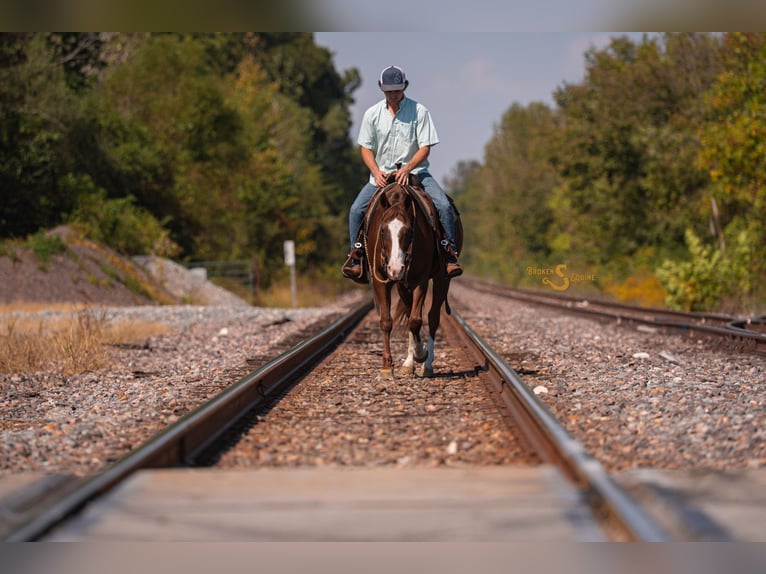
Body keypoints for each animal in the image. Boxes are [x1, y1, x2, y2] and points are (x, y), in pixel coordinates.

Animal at [362, 178, 463, 379]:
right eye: (382, 230)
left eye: (409, 231)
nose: (395, 269)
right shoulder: (380, 280)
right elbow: (387, 321)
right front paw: (387, 367)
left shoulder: (420, 280)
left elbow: (416, 321)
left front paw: (421, 353)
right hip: (402, 285)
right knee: (409, 312)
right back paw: (408, 363)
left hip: (441, 279)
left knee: (432, 317)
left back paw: (426, 363)